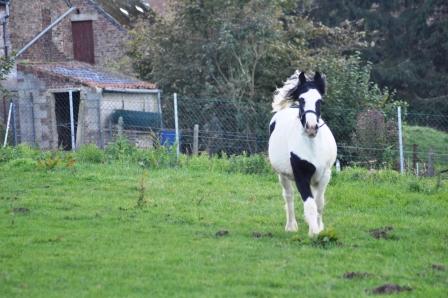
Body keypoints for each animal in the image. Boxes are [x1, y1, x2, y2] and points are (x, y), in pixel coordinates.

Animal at [270, 71, 336, 236]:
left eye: (320, 101)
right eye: (301, 100)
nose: (311, 127)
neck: (312, 147)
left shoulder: (325, 175)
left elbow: (319, 203)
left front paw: (319, 228)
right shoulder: (301, 176)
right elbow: (310, 204)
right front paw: (314, 233)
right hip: (283, 175)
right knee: (288, 196)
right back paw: (291, 226)